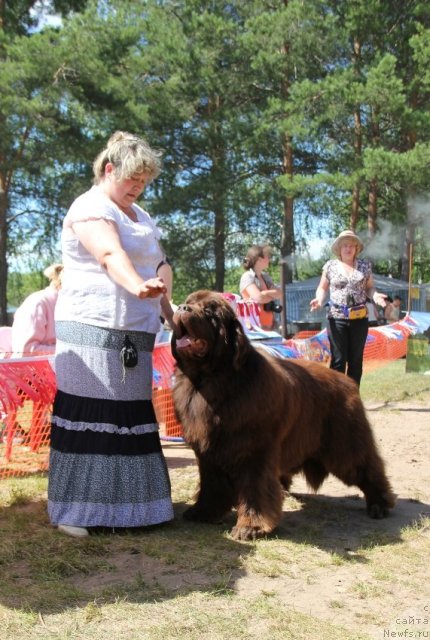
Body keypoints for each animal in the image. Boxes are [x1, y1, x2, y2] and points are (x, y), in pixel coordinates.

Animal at [171, 292, 396, 540]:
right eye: (188, 302)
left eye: (209, 312)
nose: (182, 308)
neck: (211, 379)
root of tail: (347, 381)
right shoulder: (209, 452)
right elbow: (212, 484)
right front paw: (204, 512)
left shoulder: (255, 450)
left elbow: (254, 487)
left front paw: (251, 526)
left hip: (344, 446)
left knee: (367, 467)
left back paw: (379, 504)